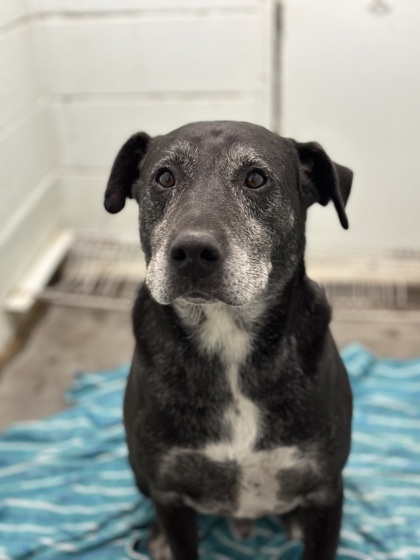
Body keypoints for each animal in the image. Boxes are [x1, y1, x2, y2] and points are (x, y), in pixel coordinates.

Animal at [103, 122, 352, 560]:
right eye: (164, 177)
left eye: (256, 178)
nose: (192, 251)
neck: (228, 337)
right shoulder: (170, 492)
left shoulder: (326, 491)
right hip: (139, 471)